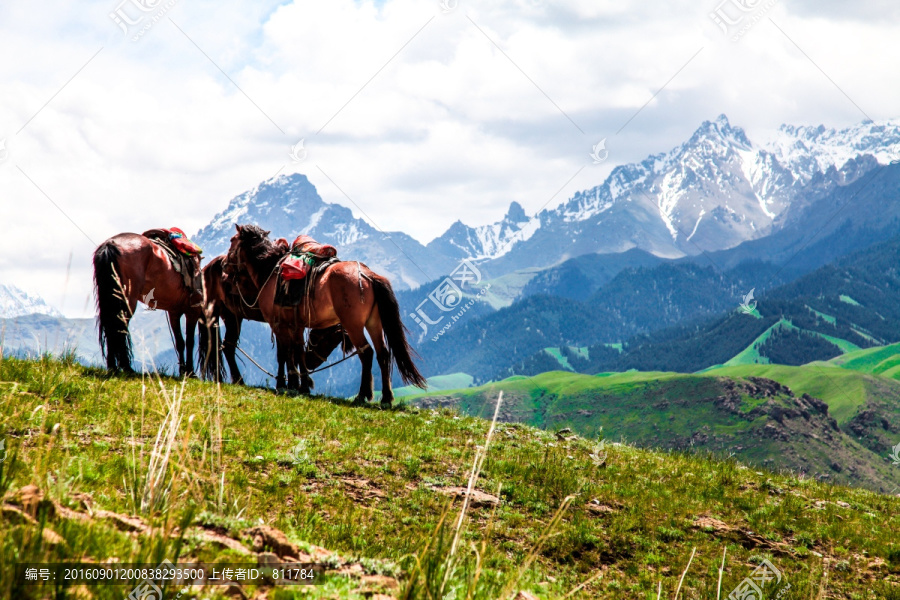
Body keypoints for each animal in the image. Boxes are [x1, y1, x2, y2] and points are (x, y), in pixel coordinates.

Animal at [92, 231, 204, 376]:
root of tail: (110, 245)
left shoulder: (174, 312)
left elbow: (180, 342)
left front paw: (183, 371)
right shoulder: (192, 311)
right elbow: (190, 341)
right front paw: (190, 372)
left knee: (111, 327)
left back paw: (113, 367)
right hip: (127, 300)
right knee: (119, 327)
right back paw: (126, 367)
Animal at [201, 253, 348, 390]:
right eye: (320, 338)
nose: (310, 362)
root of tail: (209, 267)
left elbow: (289, 352)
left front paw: (291, 383)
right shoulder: (282, 325)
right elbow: (286, 353)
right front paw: (287, 383)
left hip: (232, 315)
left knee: (227, 346)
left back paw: (233, 380)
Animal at [223, 226, 424, 408]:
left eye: (232, 240)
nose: (224, 266)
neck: (270, 271)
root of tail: (368, 275)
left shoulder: (278, 324)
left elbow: (284, 354)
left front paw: (286, 384)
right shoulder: (297, 325)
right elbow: (298, 352)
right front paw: (302, 386)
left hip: (353, 325)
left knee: (366, 353)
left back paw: (361, 396)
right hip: (374, 323)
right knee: (383, 353)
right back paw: (386, 399)